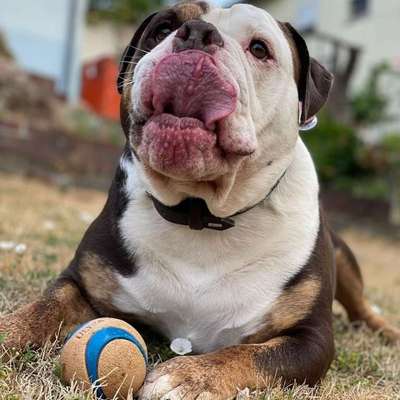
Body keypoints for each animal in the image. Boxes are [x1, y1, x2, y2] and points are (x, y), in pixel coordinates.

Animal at [1, 1, 398, 398]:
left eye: (259, 49)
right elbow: (43, 308)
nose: (196, 34)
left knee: (362, 307)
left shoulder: (311, 340)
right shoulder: (81, 283)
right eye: (162, 29)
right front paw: (9, 332)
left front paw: (189, 376)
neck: (200, 211)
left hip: (343, 255)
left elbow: (250, 354)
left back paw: (389, 331)